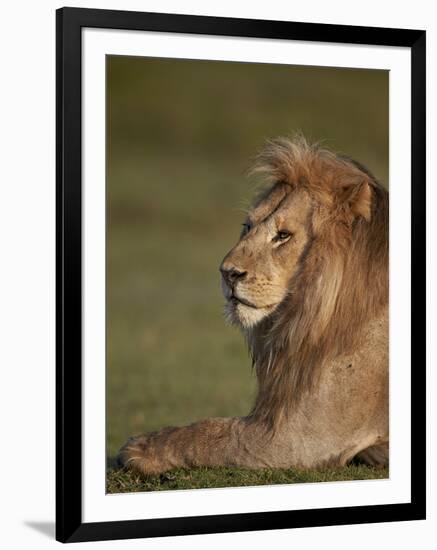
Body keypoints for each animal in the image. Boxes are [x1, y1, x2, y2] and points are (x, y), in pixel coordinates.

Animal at [117, 137, 386, 474]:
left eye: (283, 235)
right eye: (247, 226)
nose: (228, 273)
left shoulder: (303, 435)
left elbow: (214, 433)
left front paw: (140, 448)